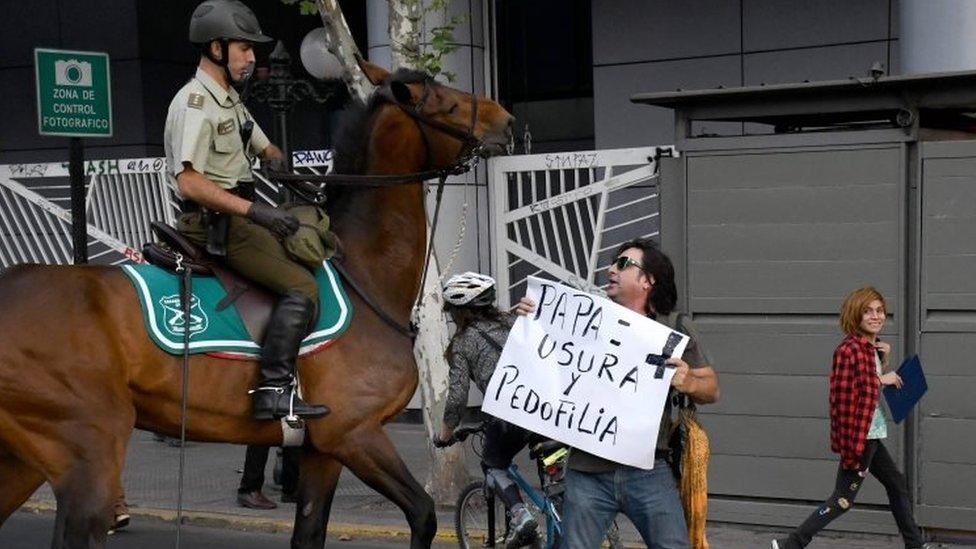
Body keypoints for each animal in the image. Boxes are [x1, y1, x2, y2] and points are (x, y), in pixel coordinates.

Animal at [0, 61, 516, 548]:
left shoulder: (321, 448)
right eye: (447, 105)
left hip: (23, 459)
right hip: (88, 451)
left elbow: (309, 532)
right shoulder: (355, 434)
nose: (506, 121)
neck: (363, 273)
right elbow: (423, 514)